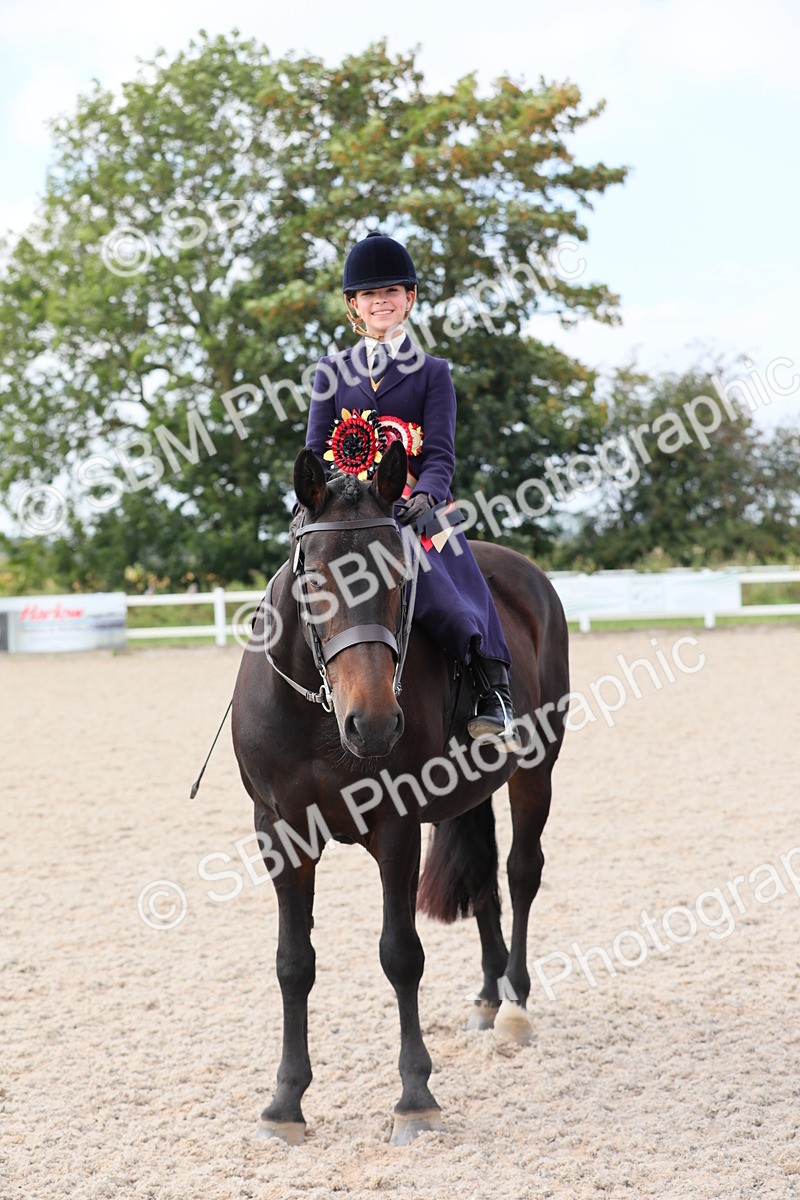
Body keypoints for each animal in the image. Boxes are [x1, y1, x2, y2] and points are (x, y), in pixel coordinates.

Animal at [231, 441, 570, 1145]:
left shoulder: (396, 826)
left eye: (397, 579)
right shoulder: (279, 832)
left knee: (522, 872)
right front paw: (285, 1103)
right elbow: (293, 962)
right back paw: (489, 995)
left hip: (536, 769)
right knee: (485, 883)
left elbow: (400, 954)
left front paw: (415, 1096)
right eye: (315, 578)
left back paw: (515, 1004)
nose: (376, 723)